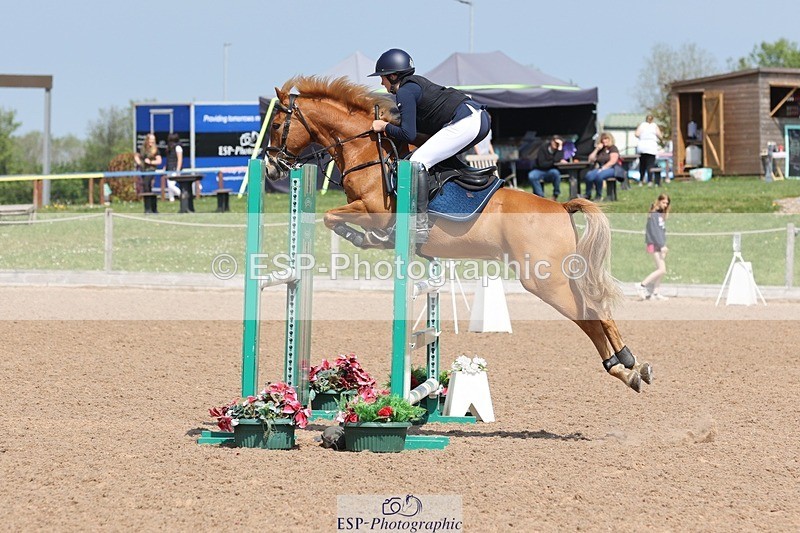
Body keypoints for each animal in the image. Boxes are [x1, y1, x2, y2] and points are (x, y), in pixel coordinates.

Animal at [264, 76, 652, 392]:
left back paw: (629, 362)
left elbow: (332, 218)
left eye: (278, 124)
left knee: (591, 310)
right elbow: (332, 219)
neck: (365, 150)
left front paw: (363, 239)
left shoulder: (376, 212)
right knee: (589, 315)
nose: (270, 168)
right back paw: (626, 370)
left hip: (544, 278)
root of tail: (560, 206)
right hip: (556, 276)